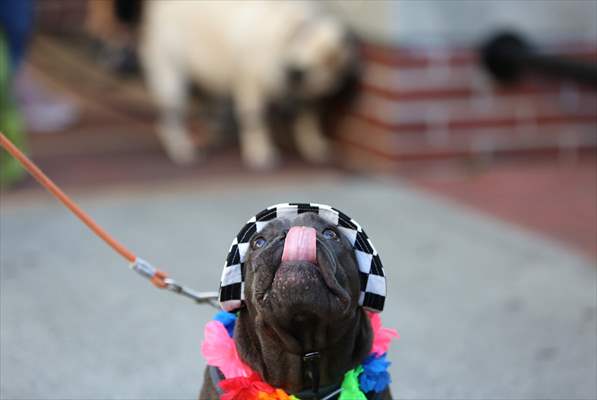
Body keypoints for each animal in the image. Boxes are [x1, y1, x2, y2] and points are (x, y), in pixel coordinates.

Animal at [140, 0, 358, 168]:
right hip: (171, 76)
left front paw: (314, 146)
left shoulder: (309, 99)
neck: (288, 34)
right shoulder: (250, 85)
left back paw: (211, 134)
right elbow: (256, 122)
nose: (290, 109)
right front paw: (260, 152)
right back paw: (182, 149)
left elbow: (308, 121)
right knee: (171, 117)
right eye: (296, 74)